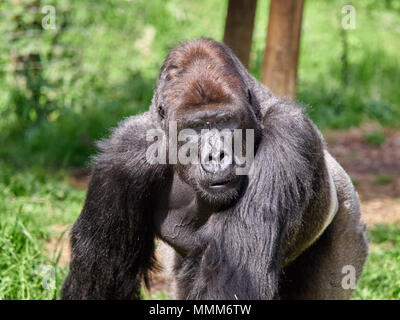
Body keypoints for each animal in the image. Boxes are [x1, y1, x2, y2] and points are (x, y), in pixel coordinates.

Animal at [60, 38, 368, 300]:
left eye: (225, 121)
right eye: (195, 127)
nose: (216, 156)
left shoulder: (289, 132)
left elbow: (237, 274)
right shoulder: (123, 153)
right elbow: (105, 270)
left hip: (349, 229)